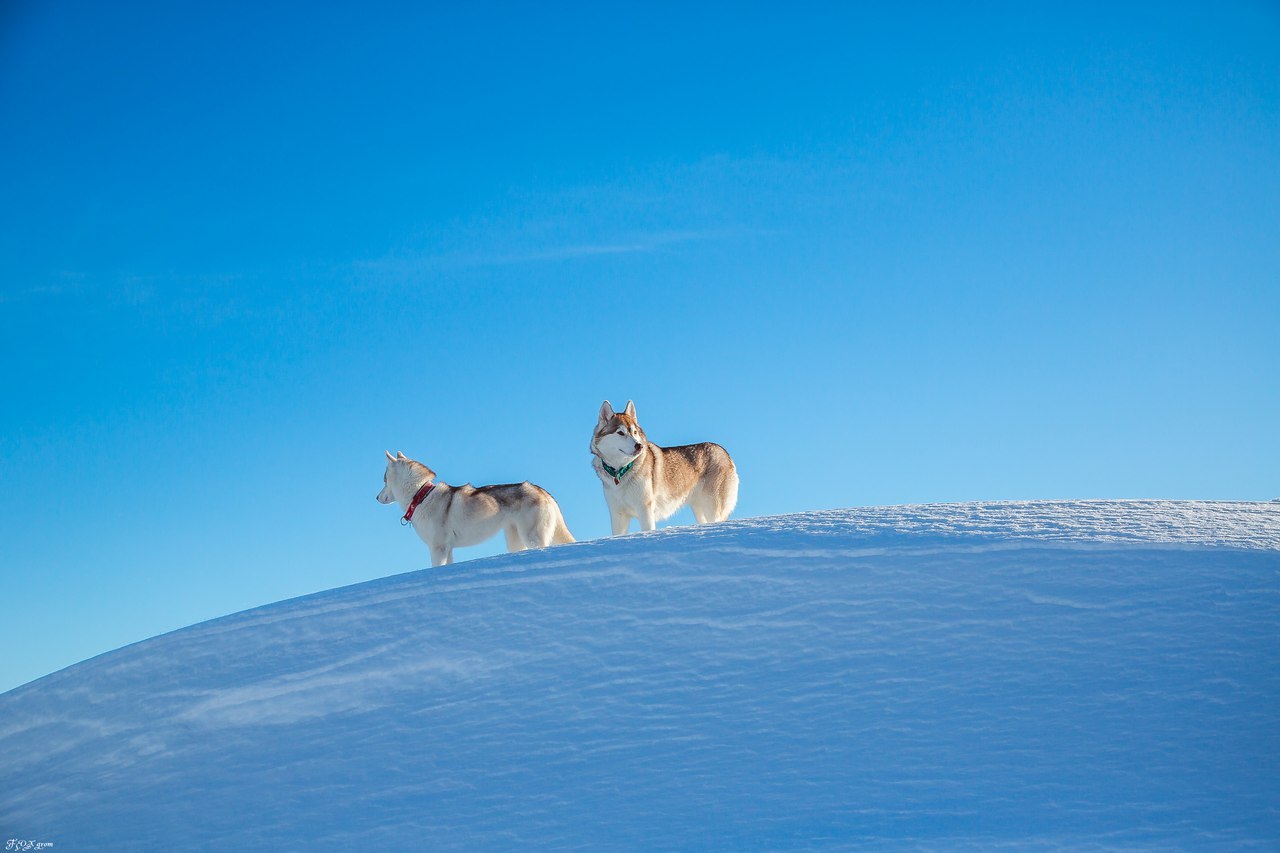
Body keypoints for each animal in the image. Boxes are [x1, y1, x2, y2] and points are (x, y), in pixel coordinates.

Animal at [373, 445, 576, 563]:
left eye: (384, 480)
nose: (376, 497)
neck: (421, 495)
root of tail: (542, 491)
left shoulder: (438, 548)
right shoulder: (448, 549)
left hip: (532, 537)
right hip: (515, 541)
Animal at [591, 399, 742, 532]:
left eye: (634, 432)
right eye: (620, 433)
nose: (639, 446)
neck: (620, 471)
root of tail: (724, 451)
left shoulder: (645, 509)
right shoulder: (618, 514)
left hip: (711, 507)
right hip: (698, 508)